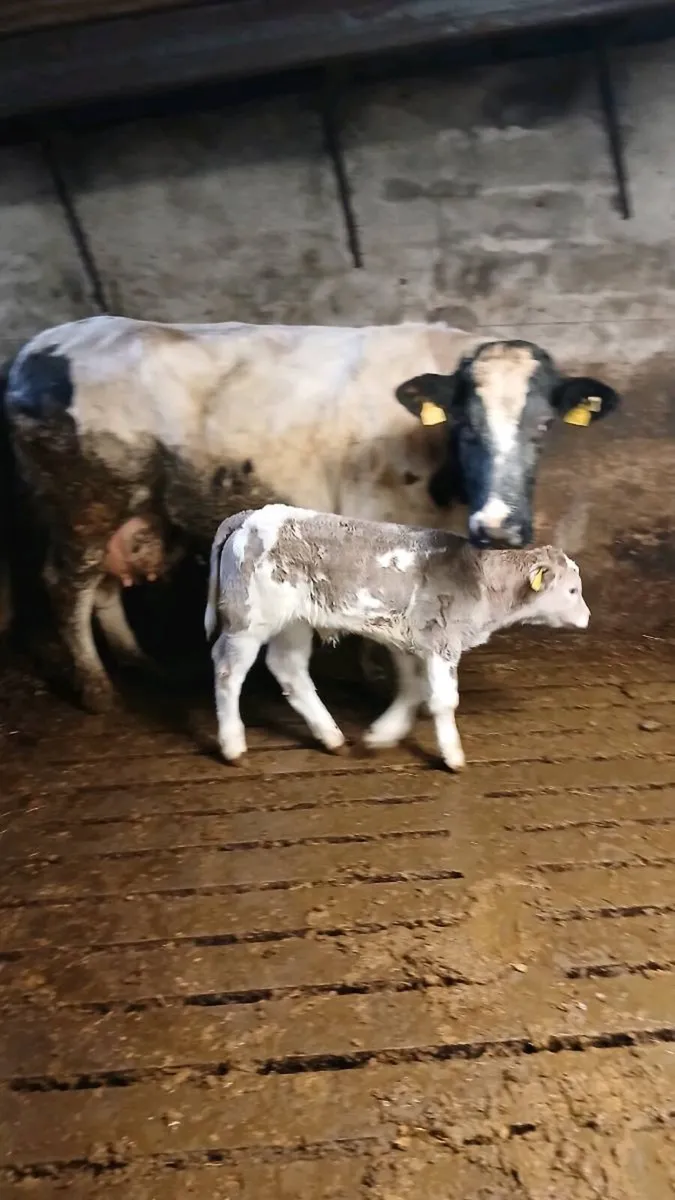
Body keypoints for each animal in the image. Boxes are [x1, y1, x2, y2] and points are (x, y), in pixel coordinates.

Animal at [0, 315, 618, 711]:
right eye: (465, 423)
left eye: (544, 426)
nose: (498, 526)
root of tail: (41, 346)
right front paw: (382, 683)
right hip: (83, 503)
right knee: (67, 586)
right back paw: (95, 689)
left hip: (134, 513)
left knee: (105, 587)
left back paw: (139, 665)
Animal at [205, 504, 590, 769]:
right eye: (572, 590)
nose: (587, 618)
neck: (478, 577)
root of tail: (251, 515)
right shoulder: (441, 641)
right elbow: (443, 700)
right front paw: (452, 755)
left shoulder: (410, 641)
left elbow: (414, 689)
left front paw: (383, 734)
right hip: (248, 620)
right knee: (227, 671)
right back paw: (233, 745)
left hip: (294, 621)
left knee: (289, 668)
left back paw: (331, 737)